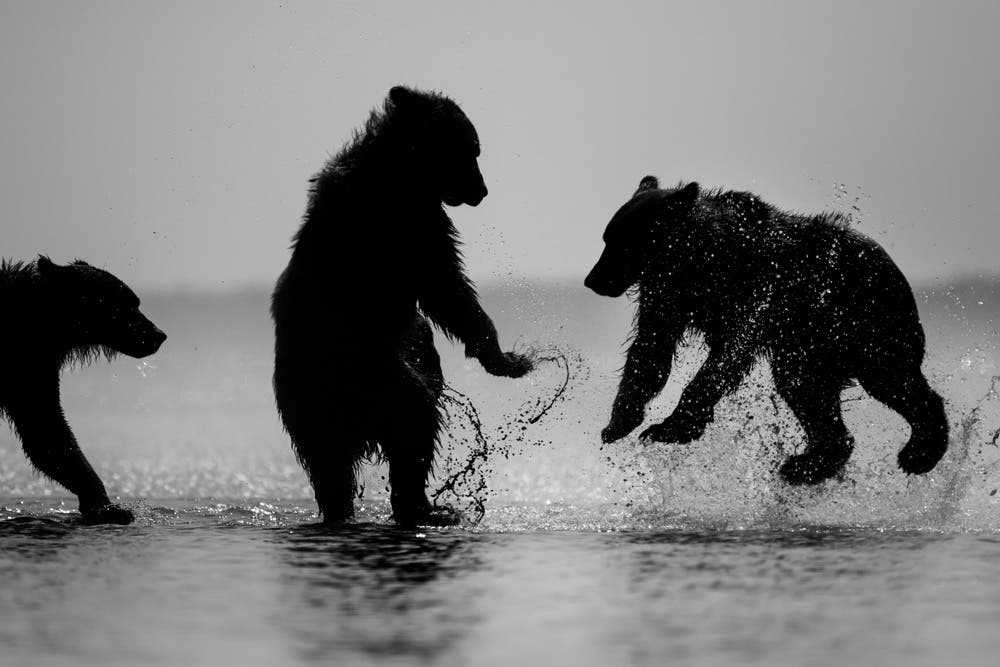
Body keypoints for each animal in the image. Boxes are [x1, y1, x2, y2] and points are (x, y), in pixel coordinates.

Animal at [0, 256, 167, 523]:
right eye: (124, 304)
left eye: (136, 302)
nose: (158, 335)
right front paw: (111, 509)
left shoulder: (33, 370)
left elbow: (47, 433)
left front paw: (104, 505)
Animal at [271, 85, 533, 527]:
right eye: (471, 150)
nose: (481, 191)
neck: (403, 169)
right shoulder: (410, 224)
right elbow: (446, 287)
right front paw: (504, 358)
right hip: (370, 375)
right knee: (414, 424)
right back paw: (427, 507)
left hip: (315, 408)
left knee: (330, 467)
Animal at [586, 176, 948, 485]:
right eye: (607, 238)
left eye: (622, 243)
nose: (592, 280)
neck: (697, 263)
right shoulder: (667, 296)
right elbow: (650, 350)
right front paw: (618, 422)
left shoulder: (756, 292)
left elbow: (728, 354)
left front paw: (669, 426)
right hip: (817, 345)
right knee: (806, 388)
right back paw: (807, 464)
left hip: (866, 322)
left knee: (891, 377)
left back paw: (920, 451)